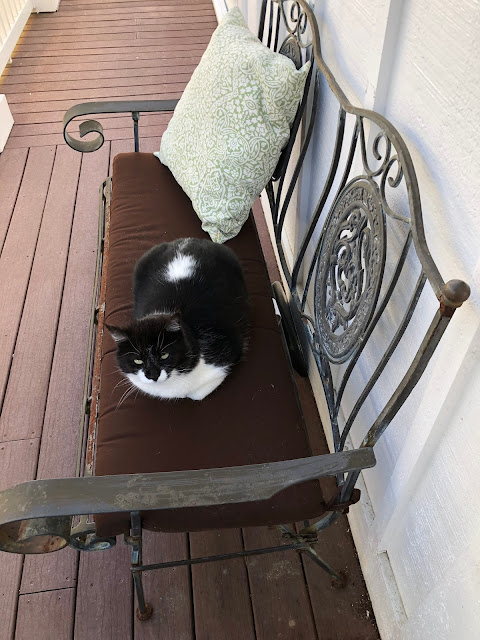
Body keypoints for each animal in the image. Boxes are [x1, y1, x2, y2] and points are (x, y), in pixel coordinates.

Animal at [106, 238, 249, 401]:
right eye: (137, 360)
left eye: (164, 355)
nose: (153, 375)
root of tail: (189, 240)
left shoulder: (229, 349)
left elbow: (198, 393)